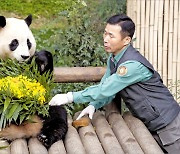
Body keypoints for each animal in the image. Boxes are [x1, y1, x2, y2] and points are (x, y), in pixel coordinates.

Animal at [0, 15, 68, 149]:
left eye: (28, 43)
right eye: (14, 42)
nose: (24, 56)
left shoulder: (29, 67)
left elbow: (43, 79)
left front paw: (42, 59)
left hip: (46, 107)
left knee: (58, 115)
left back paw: (46, 137)